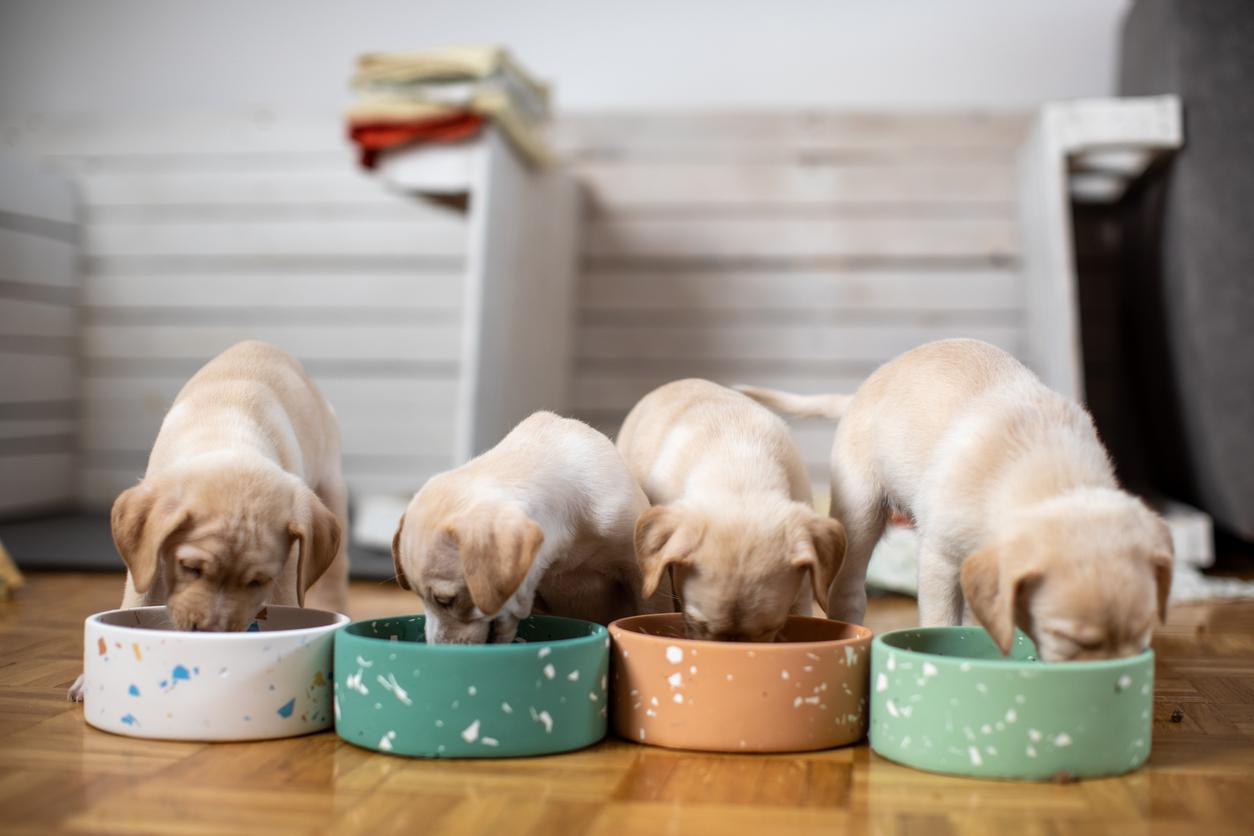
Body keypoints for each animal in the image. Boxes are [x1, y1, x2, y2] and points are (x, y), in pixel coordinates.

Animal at [71, 340, 351, 701]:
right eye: (190, 568)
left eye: (257, 582)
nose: (211, 633)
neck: (227, 433)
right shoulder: (148, 557)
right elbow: (136, 597)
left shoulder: (286, 577)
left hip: (331, 489)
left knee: (333, 582)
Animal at [737, 338, 1168, 661]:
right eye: (1070, 639)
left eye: (1143, 634)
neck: (1052, 478)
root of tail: (858, 393)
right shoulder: (940, 557)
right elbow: (943, 619)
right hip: (861, 508)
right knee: (847, 585)